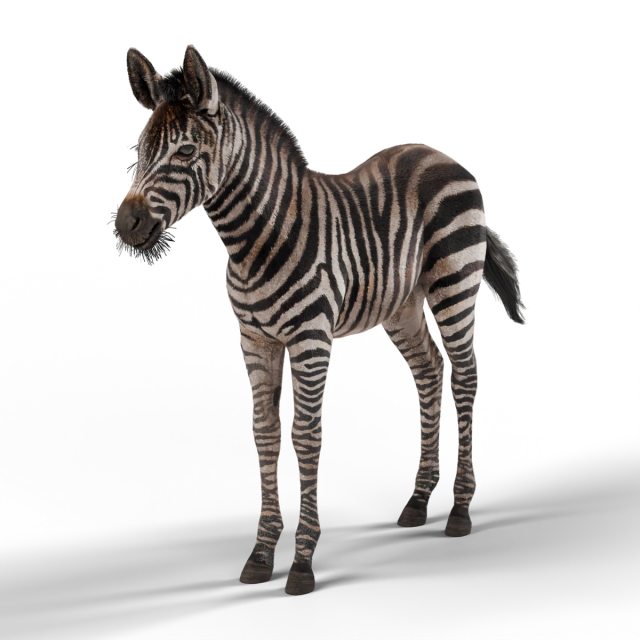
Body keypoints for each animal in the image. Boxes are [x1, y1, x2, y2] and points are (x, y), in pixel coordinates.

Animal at [112, 43, 528, 595]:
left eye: (183, 153)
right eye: (141, 149)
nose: (125, 223)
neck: (256, 239)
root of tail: (442, 155)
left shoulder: (311, 339)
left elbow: (306, 437)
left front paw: (302, 561)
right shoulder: (254, 339)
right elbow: (265, 434)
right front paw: (261, 553)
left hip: (455, 287)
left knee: (463, 377)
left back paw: (459, 508)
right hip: (401, 305)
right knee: (430, 372)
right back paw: (418, 500)